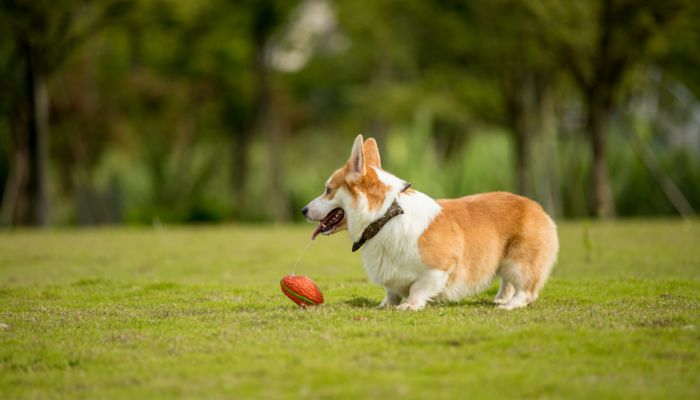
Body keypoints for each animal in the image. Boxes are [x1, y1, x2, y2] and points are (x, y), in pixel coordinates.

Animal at [300, 134, 556, 310]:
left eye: (328, 190)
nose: (303, 210)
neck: (385, 215)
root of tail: (537, 207)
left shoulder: (440, 268)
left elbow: (418, 287)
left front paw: (409, 305)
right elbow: (391, 291)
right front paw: (386, 305)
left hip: (519, 262)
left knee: (526, 290)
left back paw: (510, 305)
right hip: (505, 263)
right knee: (506, 282)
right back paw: (501, 299)